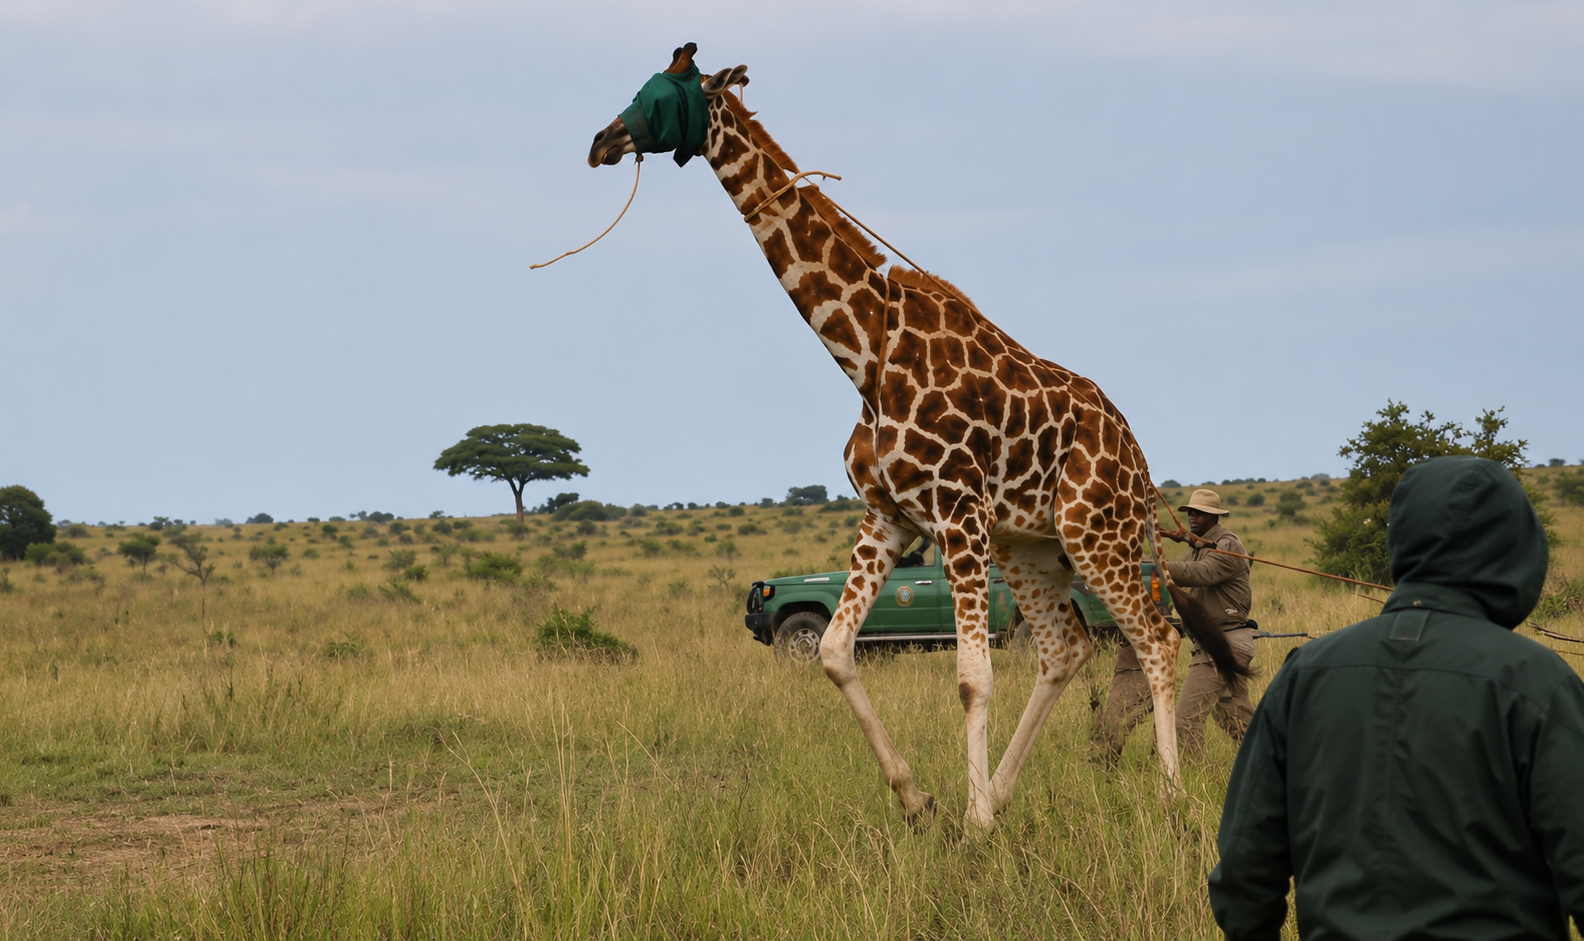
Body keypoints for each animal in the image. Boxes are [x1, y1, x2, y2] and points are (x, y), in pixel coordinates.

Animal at [586, 44, 1248, 831]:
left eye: (663, 92)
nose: (601, 142)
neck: (866, 356)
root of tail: (1138, 459)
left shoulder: (957, 514)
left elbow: (972, 675)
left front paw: (974, 824)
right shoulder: (890, 516)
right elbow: (835, 652)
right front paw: (921, 799)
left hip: (1095, 532)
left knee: (1155, 638)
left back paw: (1169, 796)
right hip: (1029, 546)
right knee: (1066, 650)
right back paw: (1006, 789)